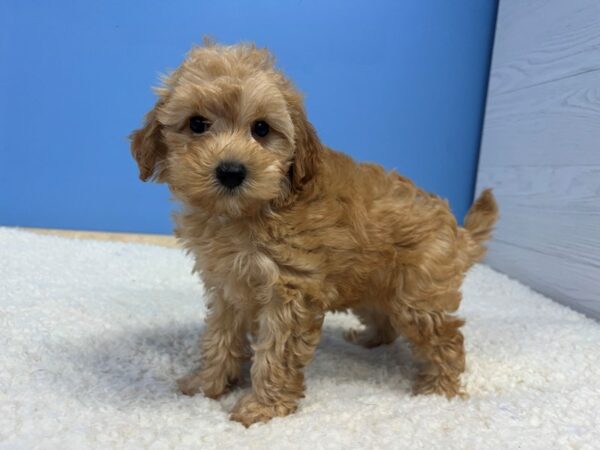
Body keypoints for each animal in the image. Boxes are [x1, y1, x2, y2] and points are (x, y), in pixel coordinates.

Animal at [130, 40, 496, 428]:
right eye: (197, 124)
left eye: (261, 129)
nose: (231, 171)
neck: (247, 213)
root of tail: (456, 229)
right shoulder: (228, 285)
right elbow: (219, 337)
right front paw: (207, 384)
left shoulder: (290, 289)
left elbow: (276, 353)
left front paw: (263, 407)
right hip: (374, 286)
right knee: (386, 319)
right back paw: (368, 340)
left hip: (417, 296)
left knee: (446, 339)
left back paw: (438, 391)